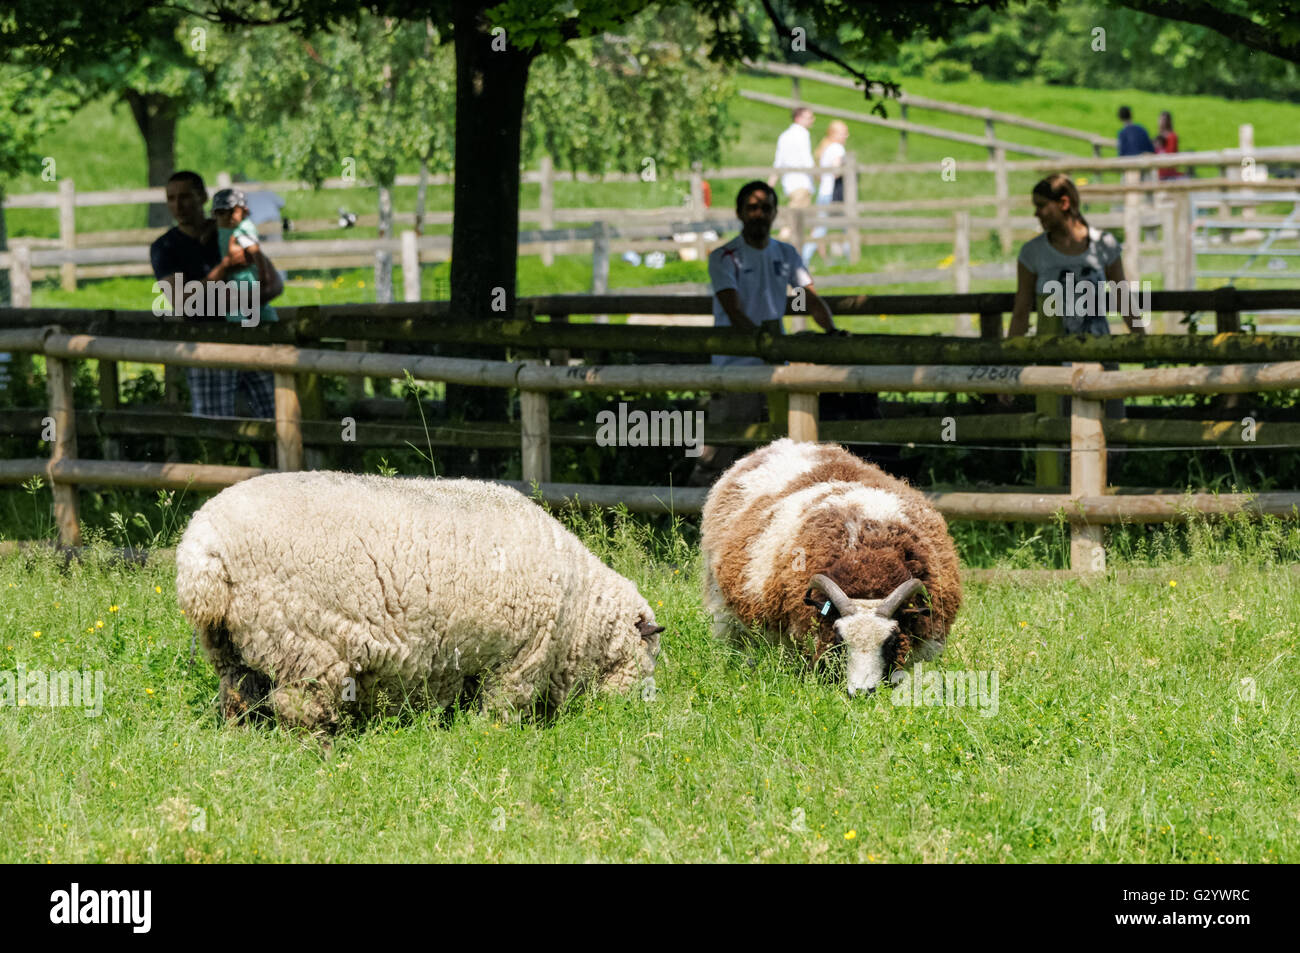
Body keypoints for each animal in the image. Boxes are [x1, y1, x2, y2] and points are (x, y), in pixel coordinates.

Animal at [175, 470, 660, 728]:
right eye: (649, 655)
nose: (635, 713)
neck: (581, 612)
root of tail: (202, 549)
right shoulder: (520, 660)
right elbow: (501, 709)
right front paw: (494, 738)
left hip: (232, 645)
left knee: (238, 697)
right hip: (303, 644)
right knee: (299, 707)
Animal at [702, 436, 967, 691]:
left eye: (890, 641)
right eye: (840, 640)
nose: (862, 692)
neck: (868, 571)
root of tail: (783, 443)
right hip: (721, 605)